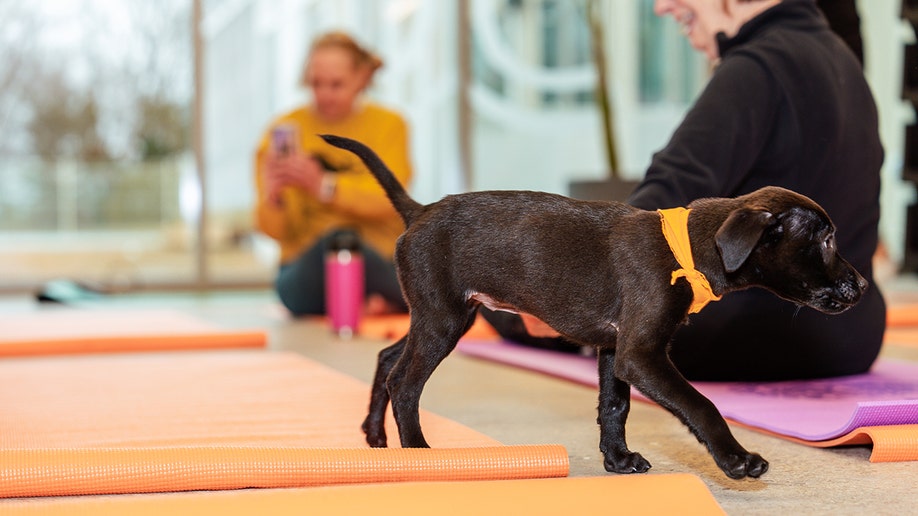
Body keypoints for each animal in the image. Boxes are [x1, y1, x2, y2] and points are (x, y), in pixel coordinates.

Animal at [324, 134, 868, 480]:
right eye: (825, 241)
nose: (862, 285)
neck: (686, 250)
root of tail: (419, 211)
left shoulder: (614, 349)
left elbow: (614, 407)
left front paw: (618, 460)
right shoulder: (641, 355)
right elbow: (702, 404)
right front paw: (737, 460)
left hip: (439, 315)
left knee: (387, 358)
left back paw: (375, 437)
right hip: (443, 320)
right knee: (405, 382)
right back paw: (420, 455)